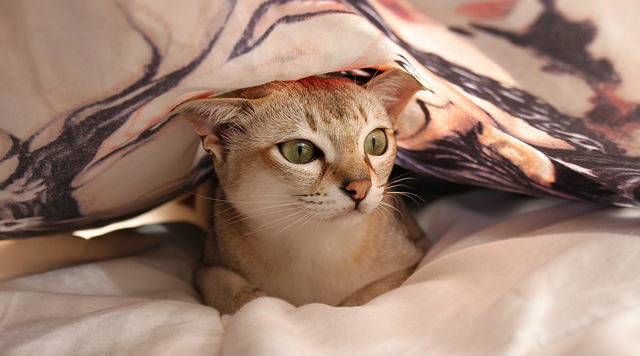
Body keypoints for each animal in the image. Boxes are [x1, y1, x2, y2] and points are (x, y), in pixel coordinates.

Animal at [172, 68, 428, 312]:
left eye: (375, 142)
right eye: (299, 151)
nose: (361, 188)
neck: (317, 249)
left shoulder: (414, 257)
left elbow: (364, 298)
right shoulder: (205, 268)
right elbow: (235, 295)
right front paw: (256, 299)